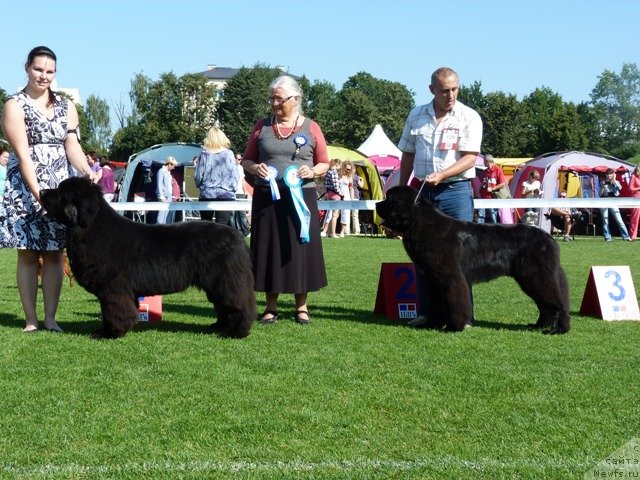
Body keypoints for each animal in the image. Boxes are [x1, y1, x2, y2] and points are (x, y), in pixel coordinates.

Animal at [38, 176, 255, 338]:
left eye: (60, 192)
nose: (40, 192)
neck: (90, 227)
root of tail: (236, 236)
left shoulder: (113, 287)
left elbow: (113, 310)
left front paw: (110, 333)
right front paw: (107, 330)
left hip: (225, 280)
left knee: (238, 305)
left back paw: (236, 332)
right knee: (223, 306)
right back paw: (219, 327)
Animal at [376, 187, 568, 334]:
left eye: (388, 199)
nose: (377, 204)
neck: (420, 223)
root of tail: (549, 238)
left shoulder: (451, 277)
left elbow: (455, 302)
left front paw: (454, 327)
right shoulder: (434, 280)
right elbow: (437, 303)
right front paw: (434, 324)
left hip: (537, 276)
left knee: (557, 302)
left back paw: (557, 329)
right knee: (545, 304)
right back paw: (538, 325)